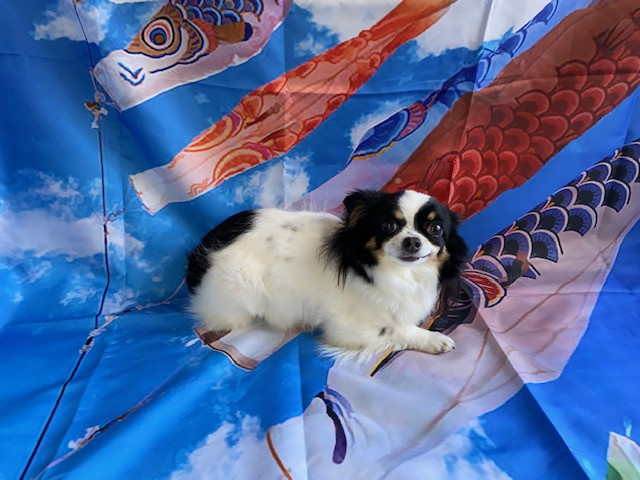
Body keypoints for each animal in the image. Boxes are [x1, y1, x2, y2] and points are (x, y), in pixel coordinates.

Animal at [186, 189, 469, 360]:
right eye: (388, 226)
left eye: (436, 229)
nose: (412, 241)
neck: (401, 274)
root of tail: (195, 262)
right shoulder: (345, 327)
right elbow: (394, 329)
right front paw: (433, 339)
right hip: (243, 288)